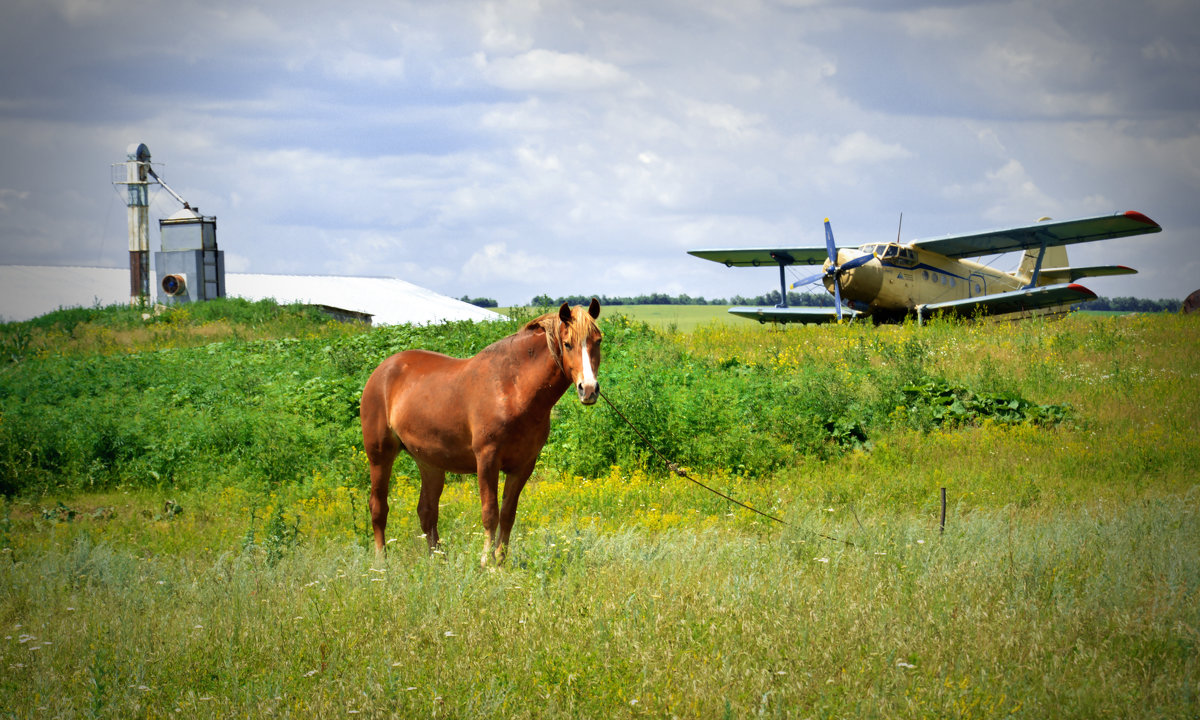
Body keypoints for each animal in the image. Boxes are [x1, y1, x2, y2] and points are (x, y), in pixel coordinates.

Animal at [355, 296, 600, 561]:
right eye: (567, 344)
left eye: (598, 341)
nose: (588, 389)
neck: (512, 387)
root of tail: (382, 371)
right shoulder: (487, 460)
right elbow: (490, 513)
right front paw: (486, 561)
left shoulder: (523, 466)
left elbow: (508, 514)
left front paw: (500, 560)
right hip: (379, 455)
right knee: (378, 507)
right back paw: (381, 561)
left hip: (429, 462)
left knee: (427, 511)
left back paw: (437, 560)